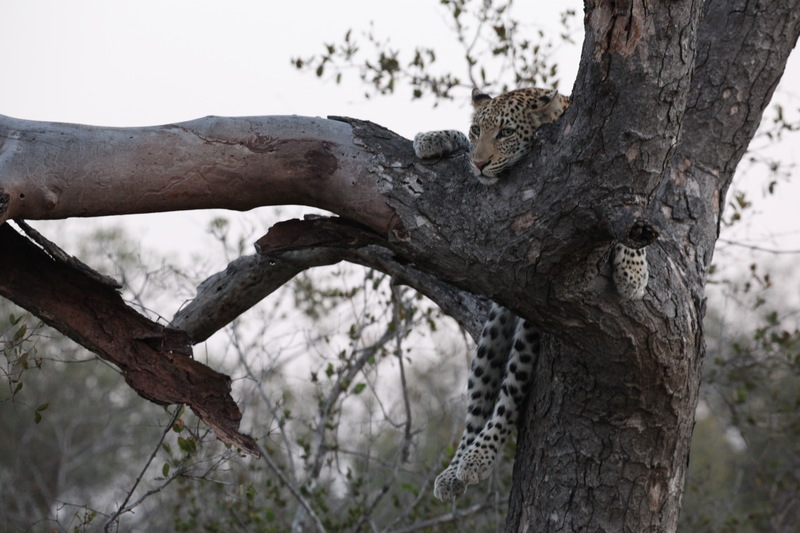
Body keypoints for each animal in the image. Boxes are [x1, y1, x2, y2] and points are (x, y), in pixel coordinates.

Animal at [414, 87, 649, 502]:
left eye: (507, 132)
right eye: (477, 130)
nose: (480, 165)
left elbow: (633, 220)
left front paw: (633, 272)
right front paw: (434, 139)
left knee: (509, 394)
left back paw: (478, 457)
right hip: (499, 322)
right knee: (480, 397)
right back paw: (457, 469)